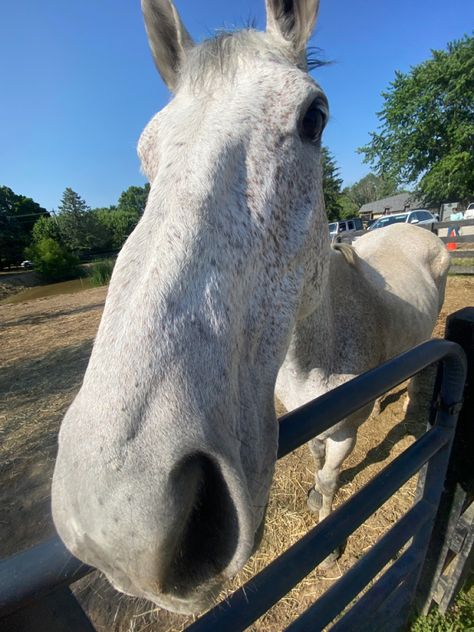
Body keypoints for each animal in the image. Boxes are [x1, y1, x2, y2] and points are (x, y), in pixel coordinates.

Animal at [51, 0, 448, 616]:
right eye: (145, 149)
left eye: (314, 117)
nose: (119, 522)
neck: (315, 352)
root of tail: (415, 226)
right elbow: (313, 458)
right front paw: (311, 498)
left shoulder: (345, 432)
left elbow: (331, 477)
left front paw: (327, 541)